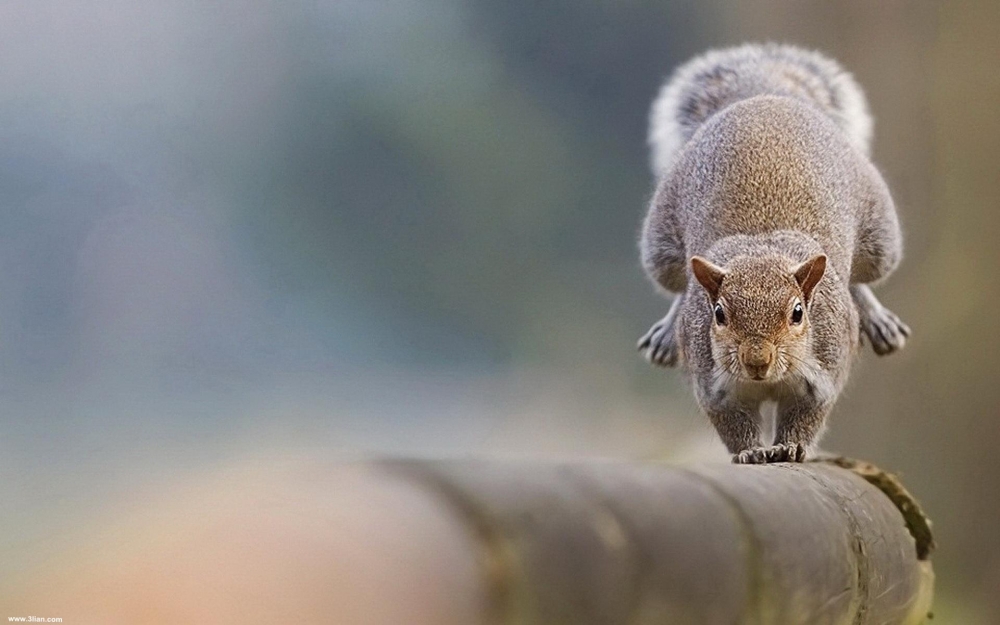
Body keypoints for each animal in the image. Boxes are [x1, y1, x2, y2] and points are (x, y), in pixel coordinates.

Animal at [636, 44, 912, 464]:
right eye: (719, 314)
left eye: (798, 313)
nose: (757, 361)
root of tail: (765, 97)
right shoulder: (712, 385)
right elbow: (732, 425)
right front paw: (751, 452)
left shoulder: (823, 374)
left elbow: (807, 417)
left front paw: (789, 446)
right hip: (661, 248)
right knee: (679, 285)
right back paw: (668, 331)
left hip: (880, 240)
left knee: (859, 278)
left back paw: (876, 317)